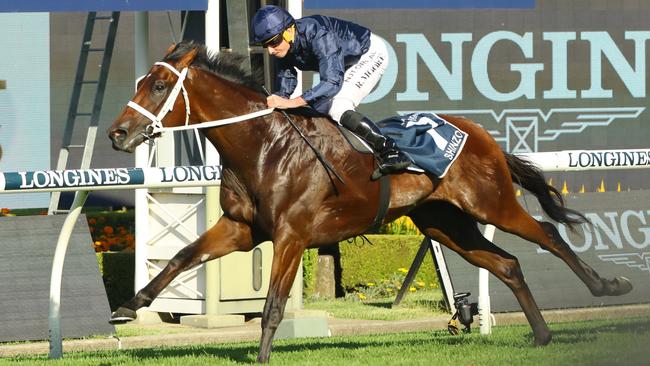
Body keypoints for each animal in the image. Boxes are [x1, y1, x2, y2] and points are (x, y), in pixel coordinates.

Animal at [105, 41, 628, 362]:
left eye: (157, 86)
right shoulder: (241, 229)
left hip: (490, 203)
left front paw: (262, 356)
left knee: (549, 235)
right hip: (442, 223)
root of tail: (481, 134)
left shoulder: (292, 236)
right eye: (140, 82)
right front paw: (129, 306)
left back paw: (607, 286)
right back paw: (541, 335)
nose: (117, 134)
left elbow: (273, 306)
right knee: (508, 264)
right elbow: (180, 256)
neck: (264, 144)